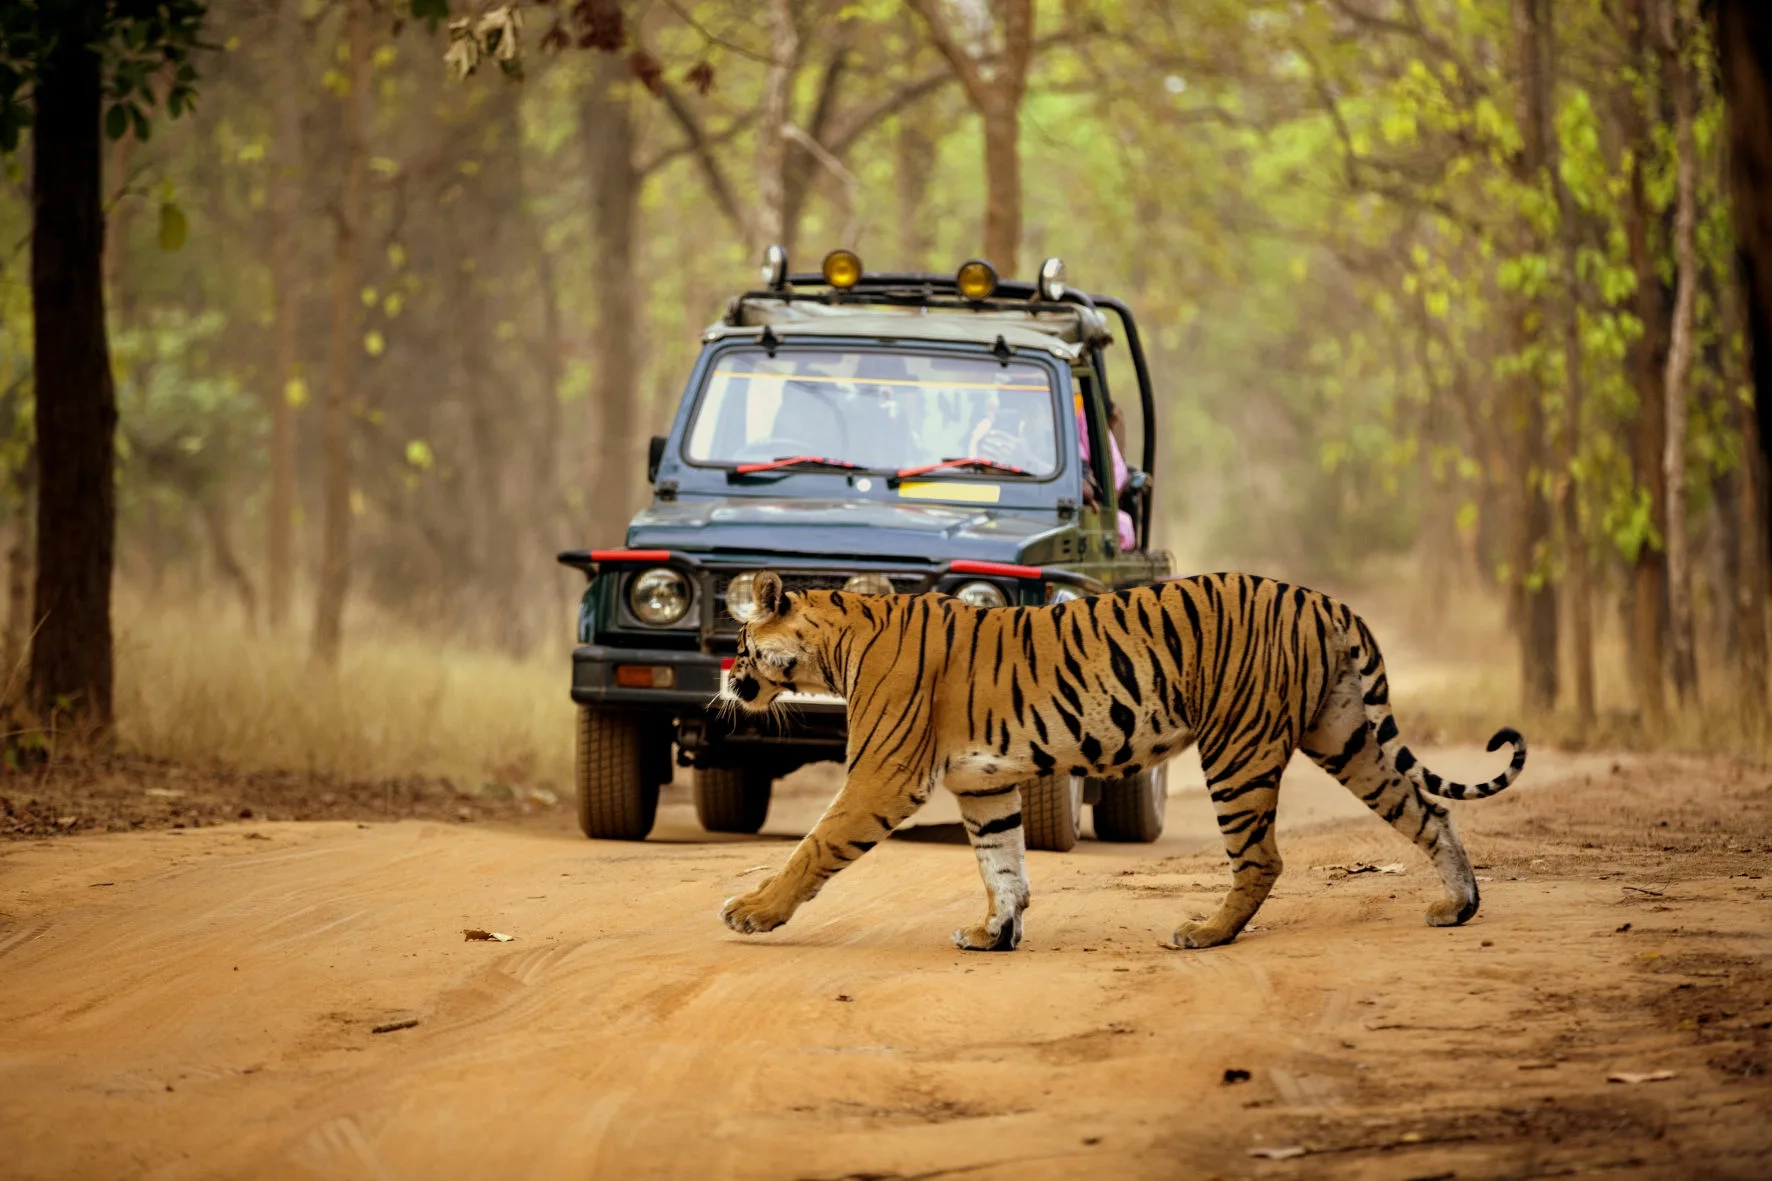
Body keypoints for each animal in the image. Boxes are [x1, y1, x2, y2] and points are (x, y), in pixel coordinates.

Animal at [719, 570, 1526, 952]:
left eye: (741, 644)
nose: (727, 680)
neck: (836, 644)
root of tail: (1320, 599)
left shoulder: (883, 775)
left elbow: (814, 846)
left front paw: (752, 911)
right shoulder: (984, 786)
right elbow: (1002, 866)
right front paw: (994, 935)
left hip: (1237, 746)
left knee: (1262, 858)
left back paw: (1204, 933)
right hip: (1346, 736)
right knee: (1428, 809)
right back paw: (1458, 906)